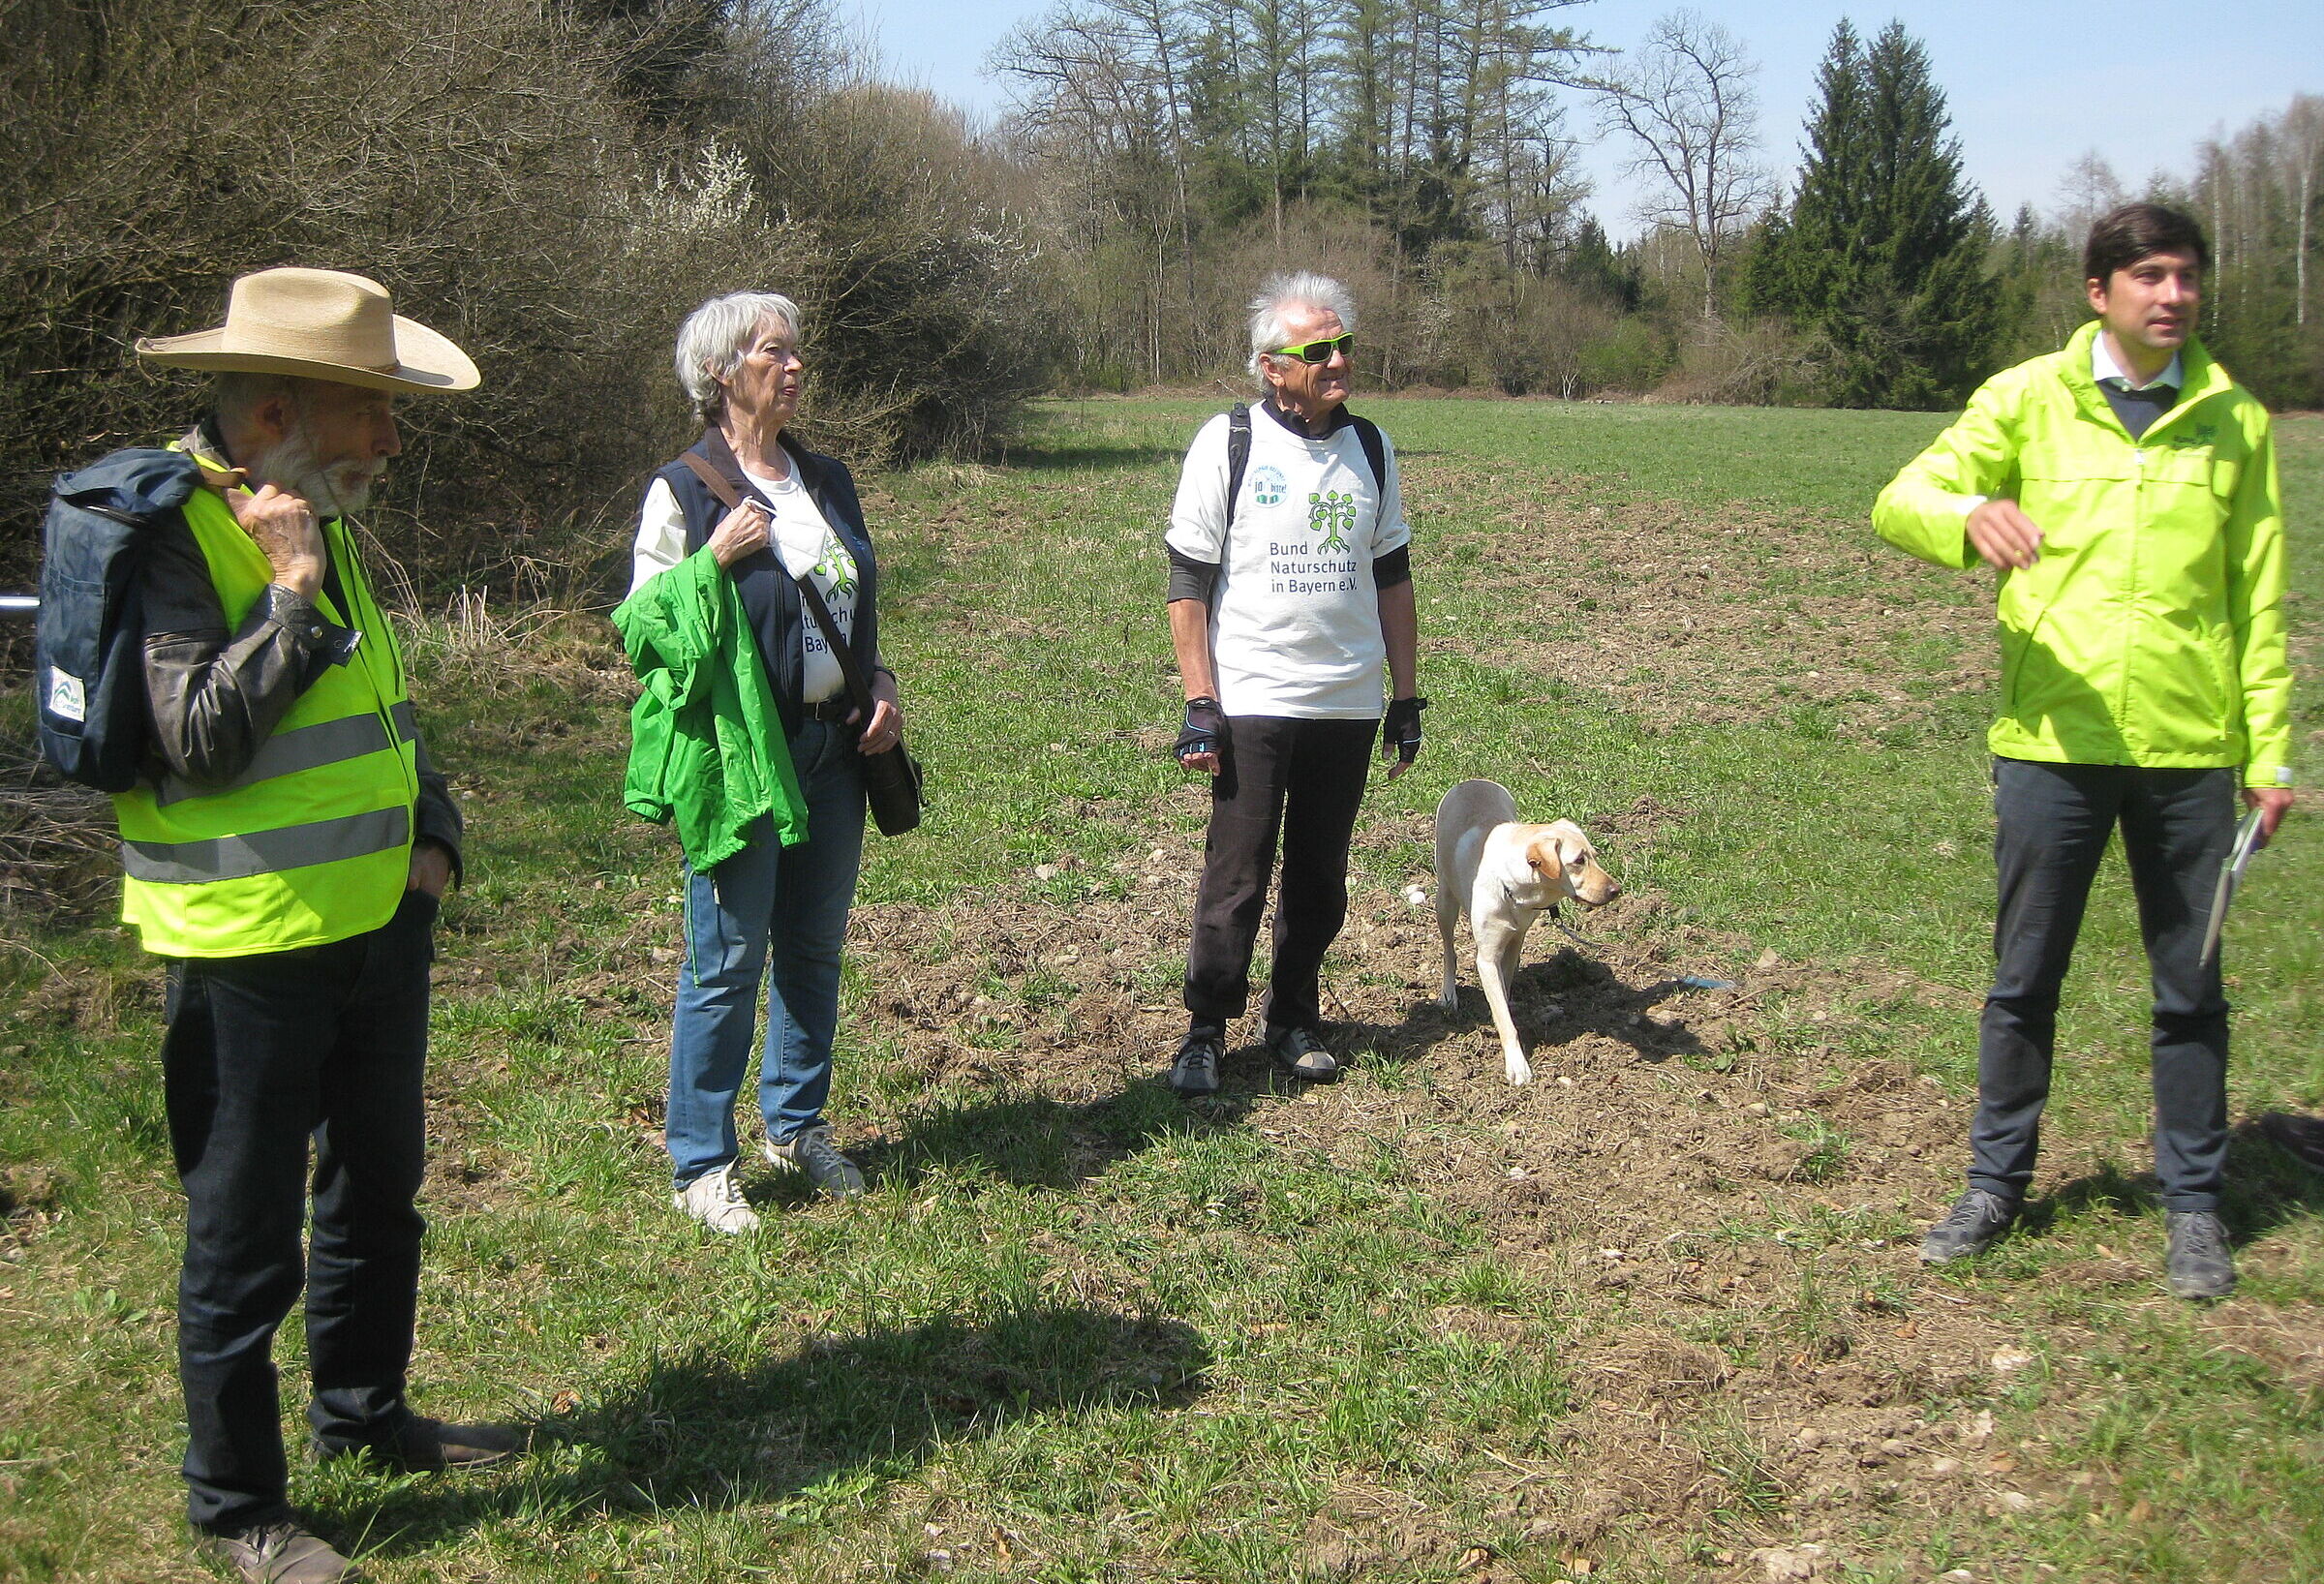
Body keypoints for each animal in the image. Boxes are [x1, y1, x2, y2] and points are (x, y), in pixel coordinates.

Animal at [1422, 780, 1627, 1086]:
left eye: (1594, 856)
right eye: (1579, 860)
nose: (1616, 890)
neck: (1513, 888)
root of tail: (1473, 781)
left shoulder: (1516, 941)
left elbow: (1504, 992)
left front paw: (1504, 1008)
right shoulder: (1487, 958)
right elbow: (1504, 1017)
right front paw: (1517, 1064)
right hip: (1445, 901)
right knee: (1449, 950)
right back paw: (1448, 994)